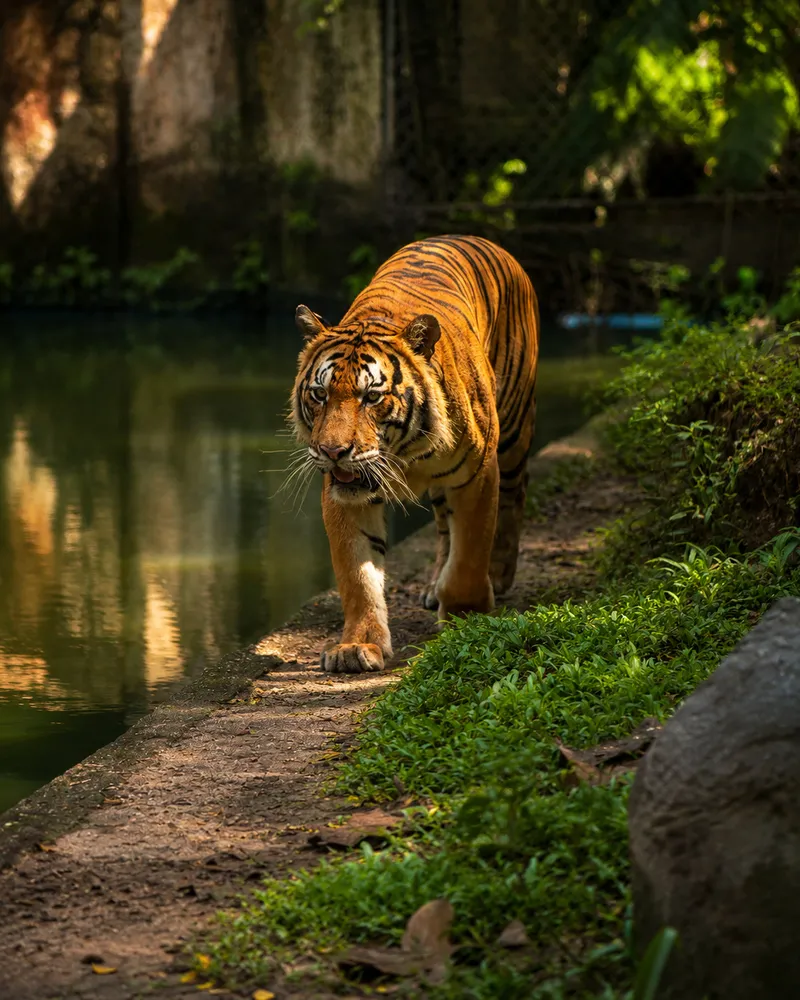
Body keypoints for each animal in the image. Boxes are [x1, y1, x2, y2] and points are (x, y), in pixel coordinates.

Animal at [290, 234, 539, 673]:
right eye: (320, 394)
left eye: (371, 397)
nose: (332, 451)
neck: (405, 452)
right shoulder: (345, 495)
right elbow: (358, 576)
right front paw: (357, 646)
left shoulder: (478, 475)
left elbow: (469, 556)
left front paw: (464, 617)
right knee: (443, 528)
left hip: (512, 432)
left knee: (514, 498)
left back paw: (498, 574)